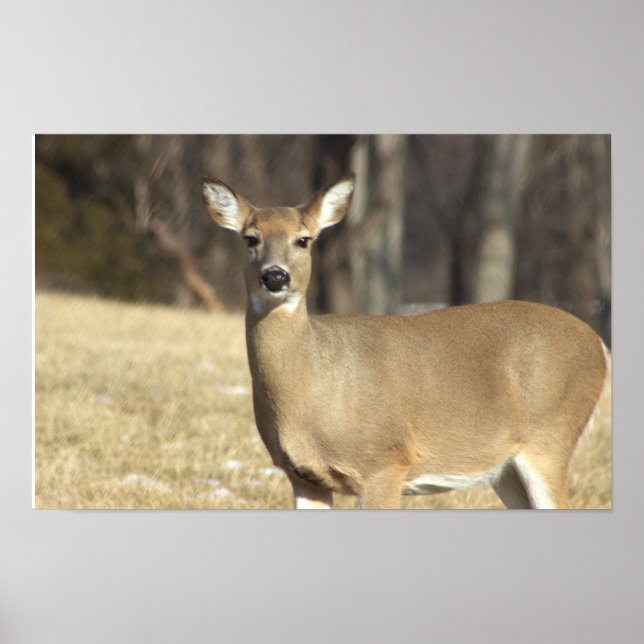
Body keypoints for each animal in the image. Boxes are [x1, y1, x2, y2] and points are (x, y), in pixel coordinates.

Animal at [201, 173, 611, 510]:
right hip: (506, 469)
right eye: (250, 239)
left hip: (550, 438)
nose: (275, 276)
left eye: (303, 240)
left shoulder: (383, 462)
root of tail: (600, 346)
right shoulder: (304, 476)